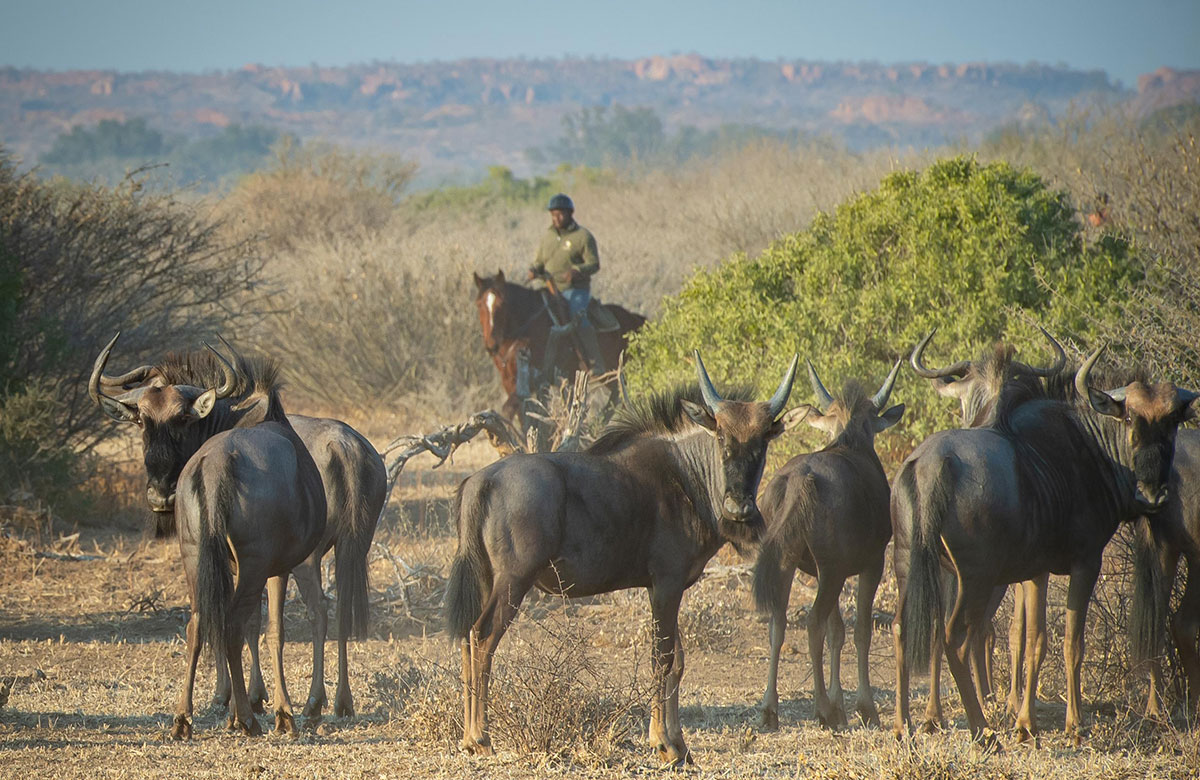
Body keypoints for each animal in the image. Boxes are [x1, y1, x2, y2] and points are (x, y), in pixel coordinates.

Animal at [470, 272, 648, 422]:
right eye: (479, 304)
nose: (491, 344)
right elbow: (517, 413)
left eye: (502, 304)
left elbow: (510, 410)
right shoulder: (509, 382)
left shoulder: (536, 379)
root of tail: (636, 319)